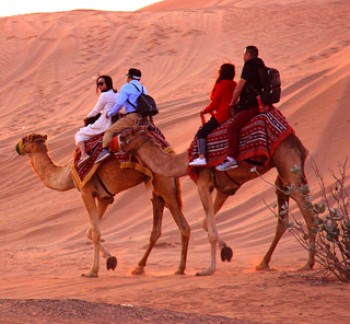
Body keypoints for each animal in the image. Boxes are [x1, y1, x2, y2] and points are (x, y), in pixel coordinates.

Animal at [16, 133, 190, 278]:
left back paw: (180, 269)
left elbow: (95, 233)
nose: (17, 147)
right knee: (156, 225)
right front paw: (111, 260)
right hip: (159, 187)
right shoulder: (105, 197)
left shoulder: (86, 192)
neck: (67, 174)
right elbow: (90, 232)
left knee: (183, 226)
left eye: (26, 138)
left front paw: (92, 271)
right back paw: (139, 268)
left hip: (164, 183)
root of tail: (171, 152)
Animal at [119, 126, 318, 276]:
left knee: (309, 214)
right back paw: (263, 262)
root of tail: (298, 143)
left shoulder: (203, 183)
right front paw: (226, 251)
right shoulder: (224, 189)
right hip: (283, 177)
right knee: (283, 219)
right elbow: (205, 223)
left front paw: (208, 269)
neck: (186, 161)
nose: (119, 137)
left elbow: (210, 230)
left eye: (131, 132)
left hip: (287, 165)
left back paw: (308, 264)